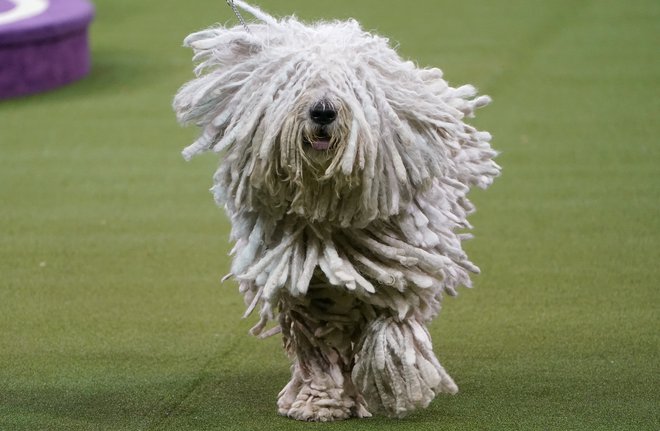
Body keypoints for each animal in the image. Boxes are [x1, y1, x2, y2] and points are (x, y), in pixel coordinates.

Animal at [173, 0, 498, 422]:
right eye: (294, 83)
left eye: (350, 86)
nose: (323, 112)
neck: (326, 205)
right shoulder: (303, 283)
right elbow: (317, 345)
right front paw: (321, 401)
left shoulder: (398, 267)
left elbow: (392, 321)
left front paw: (395, 381)